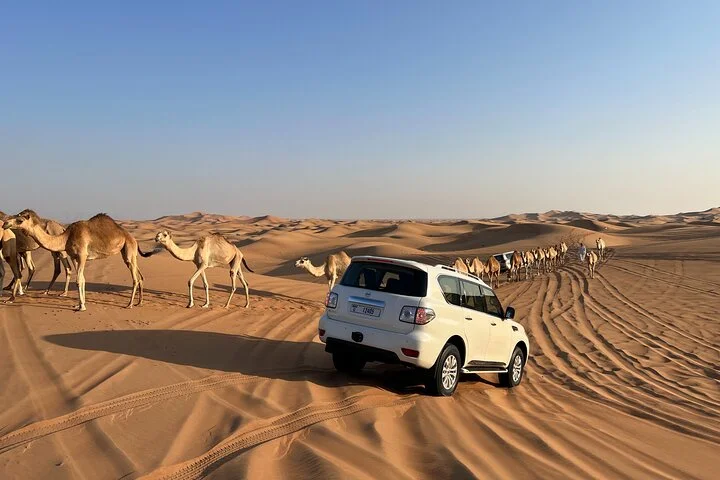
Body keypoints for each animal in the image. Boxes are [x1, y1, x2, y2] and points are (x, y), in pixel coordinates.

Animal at [4, 212, 157, 311]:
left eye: (19, 220)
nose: (5, 223)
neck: (66, 238)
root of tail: (133, 238)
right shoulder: (74, 257)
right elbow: (82, 279)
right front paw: (78, 305)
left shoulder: (83, 255)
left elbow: (79, 280)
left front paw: (82, 307)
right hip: (129, 252)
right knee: (140, 276)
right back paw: (139, 303)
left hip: (128, 249)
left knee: (135, 278)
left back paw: (129, 304)